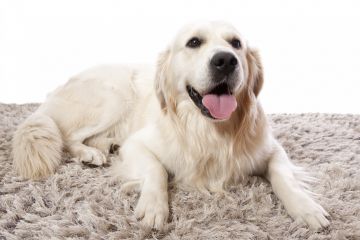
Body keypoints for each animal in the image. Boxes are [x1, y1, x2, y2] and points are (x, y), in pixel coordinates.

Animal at [12, 21, 330, 230]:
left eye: (236, 43)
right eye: (194, 42)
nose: (226, 60)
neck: (209, 129)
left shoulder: (271, 149)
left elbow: (283, 177)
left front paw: (306, 208)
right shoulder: (138, 144)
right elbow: (157, 170)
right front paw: (154, 208)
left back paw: (101, 148)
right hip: (113, 95)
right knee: (67, 135)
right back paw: (88, 154)